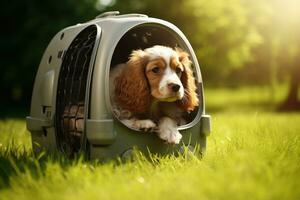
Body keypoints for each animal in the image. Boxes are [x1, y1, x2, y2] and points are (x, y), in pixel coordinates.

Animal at [27, 11, 212, 161]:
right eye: (155, 70)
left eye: (179, 70)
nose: (176, 87)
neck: (152, 103)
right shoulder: (117, 106)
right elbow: (124, 119)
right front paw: (143, 124)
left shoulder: (177, 114)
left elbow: (169, 117)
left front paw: (170, 132)